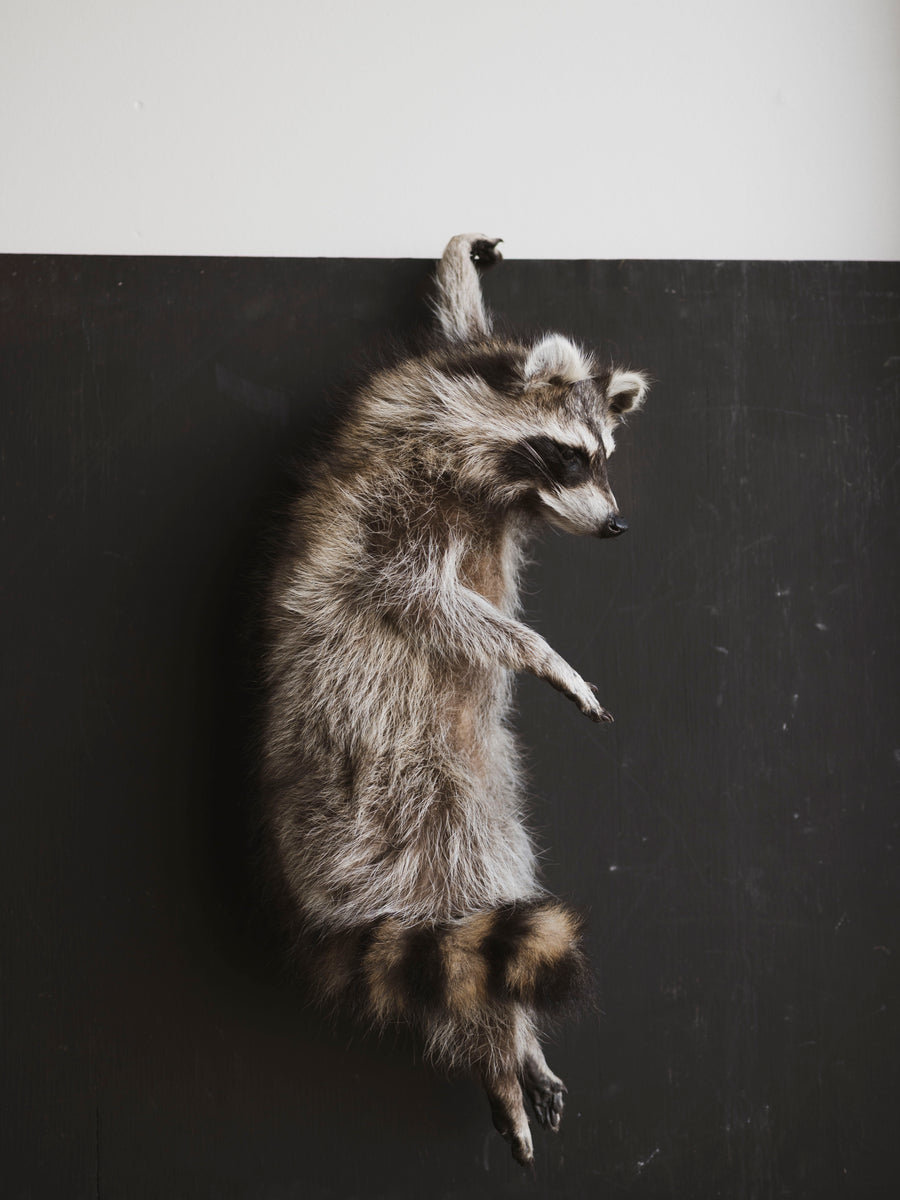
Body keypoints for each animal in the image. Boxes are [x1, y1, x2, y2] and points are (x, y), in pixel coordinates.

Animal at [261, 233, 648, 1166]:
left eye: (606, 457)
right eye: (572, 454)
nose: (618, 525)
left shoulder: (460, 368)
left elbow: (459, 315)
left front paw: (459, 269)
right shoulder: (393, 505)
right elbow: (416, 595)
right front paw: (541, 653)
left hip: (488, 801)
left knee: (500, 903)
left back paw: (518, 1037)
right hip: (384, 804)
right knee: (462, 940)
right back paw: (496, 1047)